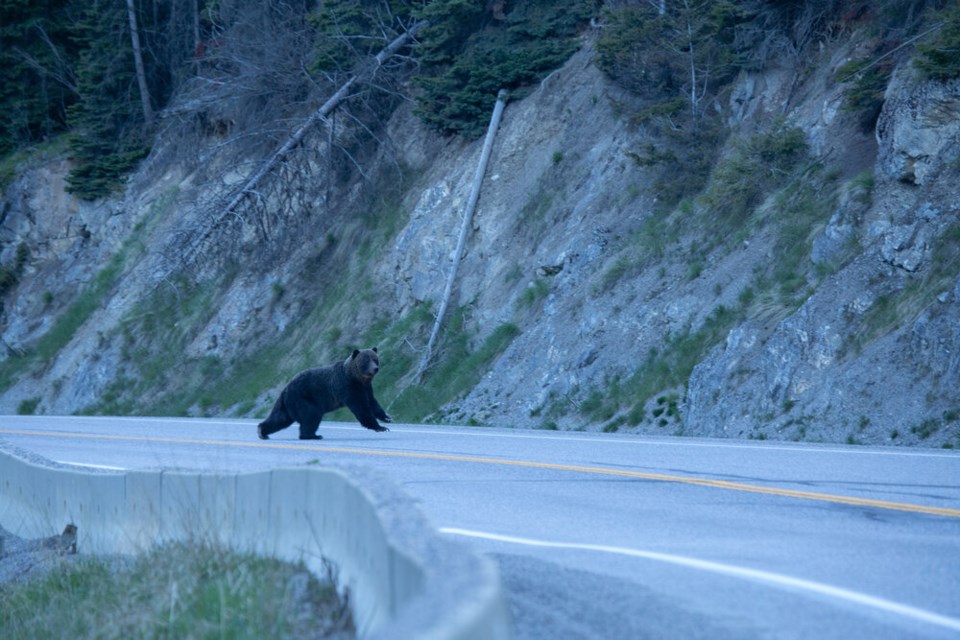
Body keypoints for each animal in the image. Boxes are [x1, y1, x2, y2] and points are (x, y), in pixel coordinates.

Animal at [256, 344, 392, 440]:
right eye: (366, 360)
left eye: (375, 359)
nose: (375, 369)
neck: (356, 378)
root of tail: (285, 389)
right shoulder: (347, 387)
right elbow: (361, 408)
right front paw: (380, 427)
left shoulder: (366, 387)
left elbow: (372, 402)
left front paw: (386, 418)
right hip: (302, 398)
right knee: (311, 415)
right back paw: (312, 435)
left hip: (288, 403)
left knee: (279, 418)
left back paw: (262, 431)